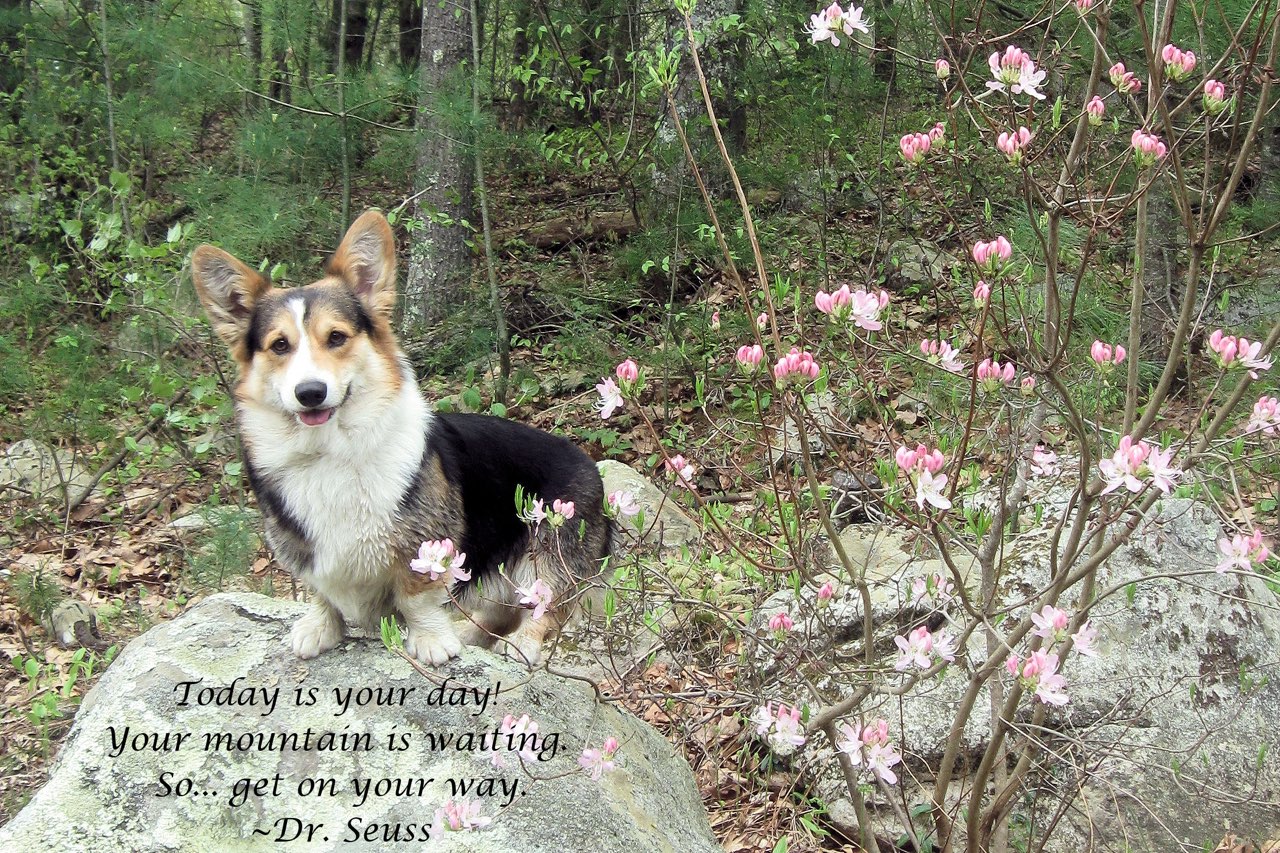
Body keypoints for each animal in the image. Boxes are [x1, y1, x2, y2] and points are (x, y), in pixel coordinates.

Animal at [189, 208, 609, 660]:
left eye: (336, 337)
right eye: (279, 346)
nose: (310, 392)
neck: (330, 452)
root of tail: (591, 464)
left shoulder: (425, 548)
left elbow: (416, 596)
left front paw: (431, 640)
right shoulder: (304, 552)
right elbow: (321, 593)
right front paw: (319, 628)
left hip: (549, 548)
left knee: (544, 607)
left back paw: (520, 645)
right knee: (500, 611)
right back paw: (470, 632)